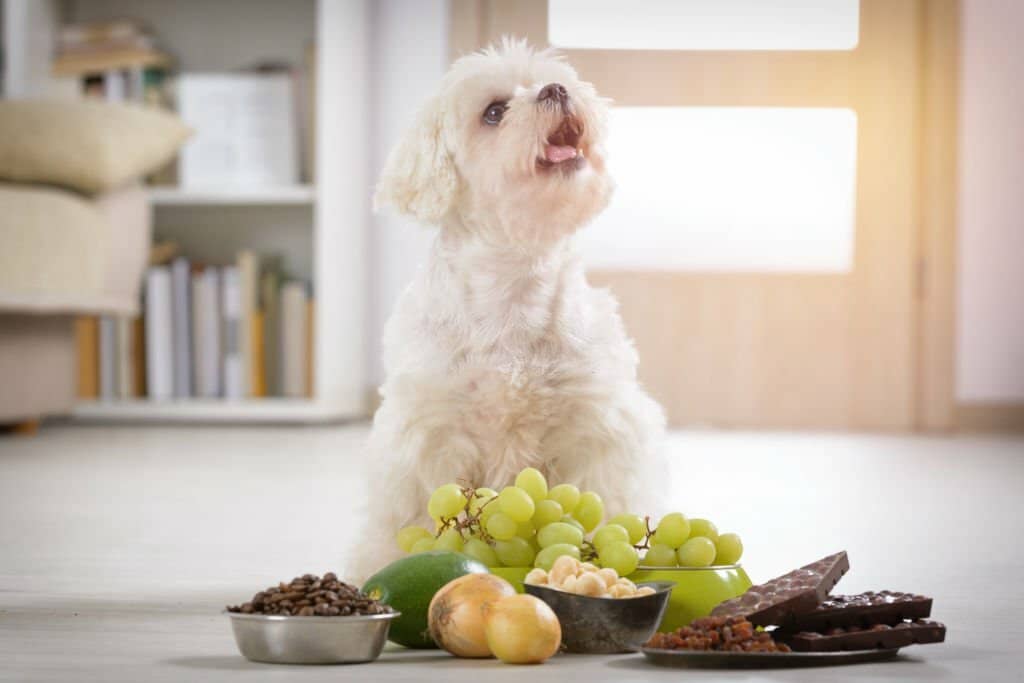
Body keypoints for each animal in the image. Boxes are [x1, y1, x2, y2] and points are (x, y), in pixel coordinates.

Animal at [356, 40, 667, 577]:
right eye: (494, 112)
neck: (514, 290)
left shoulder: (596, 429)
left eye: (551, 80)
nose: (556, 90)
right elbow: (423, 516)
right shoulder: (431, 439)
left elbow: (603, 503)